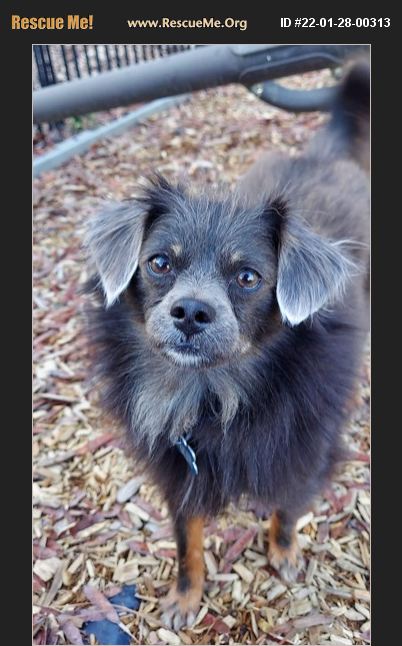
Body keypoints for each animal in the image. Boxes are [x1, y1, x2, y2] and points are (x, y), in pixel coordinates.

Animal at [85, 62, 370, 632]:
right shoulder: (178, 470)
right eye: (159, 263)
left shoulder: (303, 451)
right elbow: (186, 537)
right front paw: (186, 594)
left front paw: (284, 551)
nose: (191, 312)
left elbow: (288, 507)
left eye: (247, 277)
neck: (213, 393)